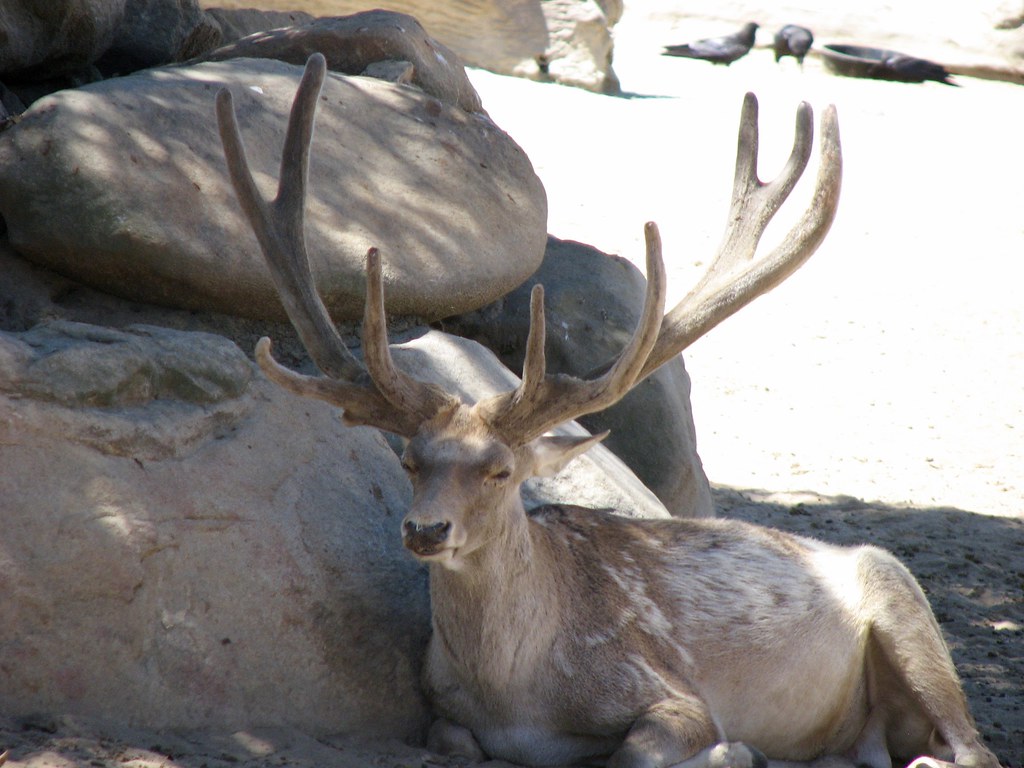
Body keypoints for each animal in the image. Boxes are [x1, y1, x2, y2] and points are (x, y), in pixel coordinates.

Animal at [215, 54, 1002, 768]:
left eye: (500, 470)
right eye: (410, 460)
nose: (425, 529)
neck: (514, 699)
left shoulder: (669, 689)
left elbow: (639, 750)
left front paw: (730, 751)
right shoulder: (441, 711)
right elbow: (452, 741)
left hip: (904, 602)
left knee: (970, 748)